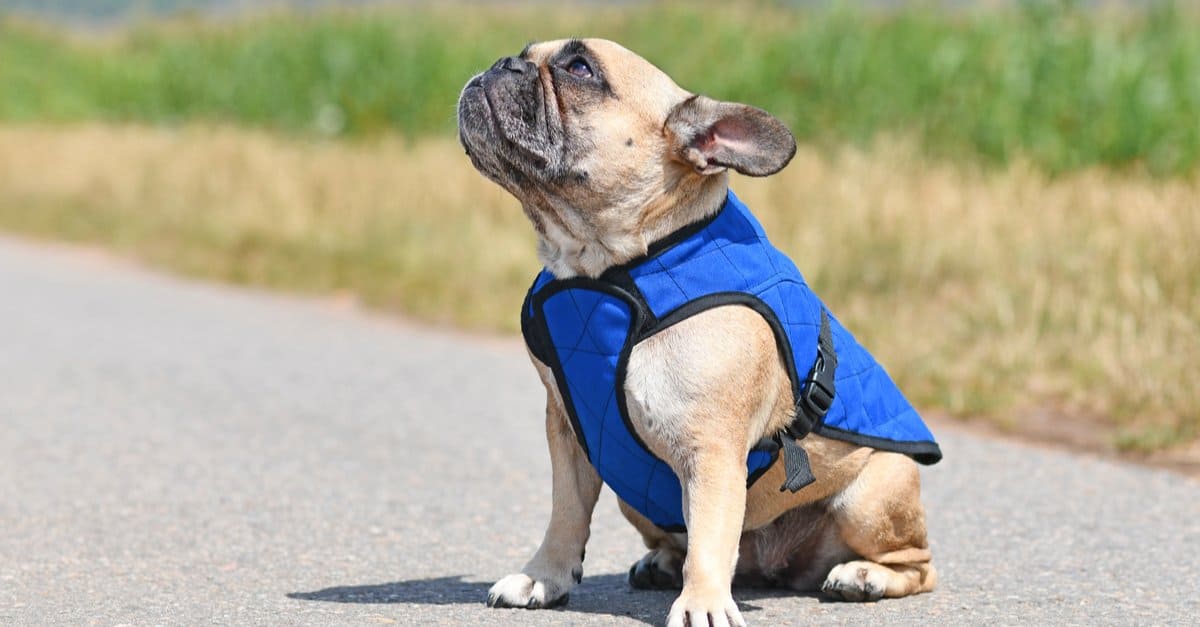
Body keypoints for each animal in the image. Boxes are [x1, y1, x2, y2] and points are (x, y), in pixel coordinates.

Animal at [453, 40, 940, 624]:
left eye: (580, 69)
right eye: (528, 52)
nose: (504, 63)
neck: (609, 268)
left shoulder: (711, 451)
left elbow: (710, 533)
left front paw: (703, 603)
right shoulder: (569, 435)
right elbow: (565, 514)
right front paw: (542, 577)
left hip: (871, 498)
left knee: (918, 565)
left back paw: (862, 576)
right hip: (634, 500)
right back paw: (662, 564)